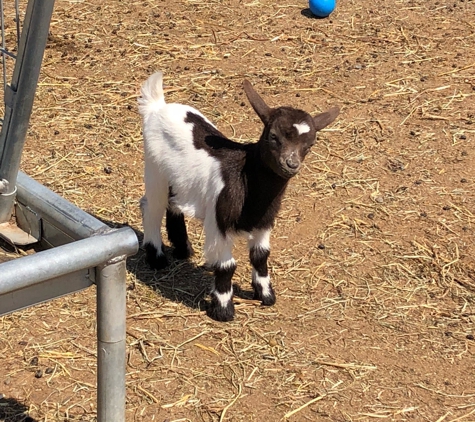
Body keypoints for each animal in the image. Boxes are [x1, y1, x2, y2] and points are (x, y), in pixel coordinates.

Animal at [138, 72, 338, 322]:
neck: (246, 179)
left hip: (177, 180)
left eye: (310, 145)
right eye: (273, 136)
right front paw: (223, 309)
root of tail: (157, 106)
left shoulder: (264, 222)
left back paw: (183, 249)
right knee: (151, 207)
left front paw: (265, 294)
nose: (291, 164)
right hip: (154, 171)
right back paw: (157, 258)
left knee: (174, 205)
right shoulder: (220, 223)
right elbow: (226, 266)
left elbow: (261, 256)